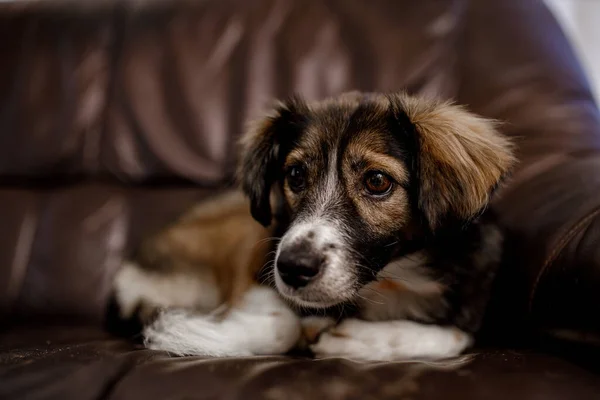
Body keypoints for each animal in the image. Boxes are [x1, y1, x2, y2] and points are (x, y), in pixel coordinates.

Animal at [112, 91, 516, 362]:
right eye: (295, 175)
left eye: (377, 182)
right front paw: (189, 330)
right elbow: (283, 325)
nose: (293, 269)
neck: (395, 276)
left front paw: (359, 339)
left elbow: (454, 337)